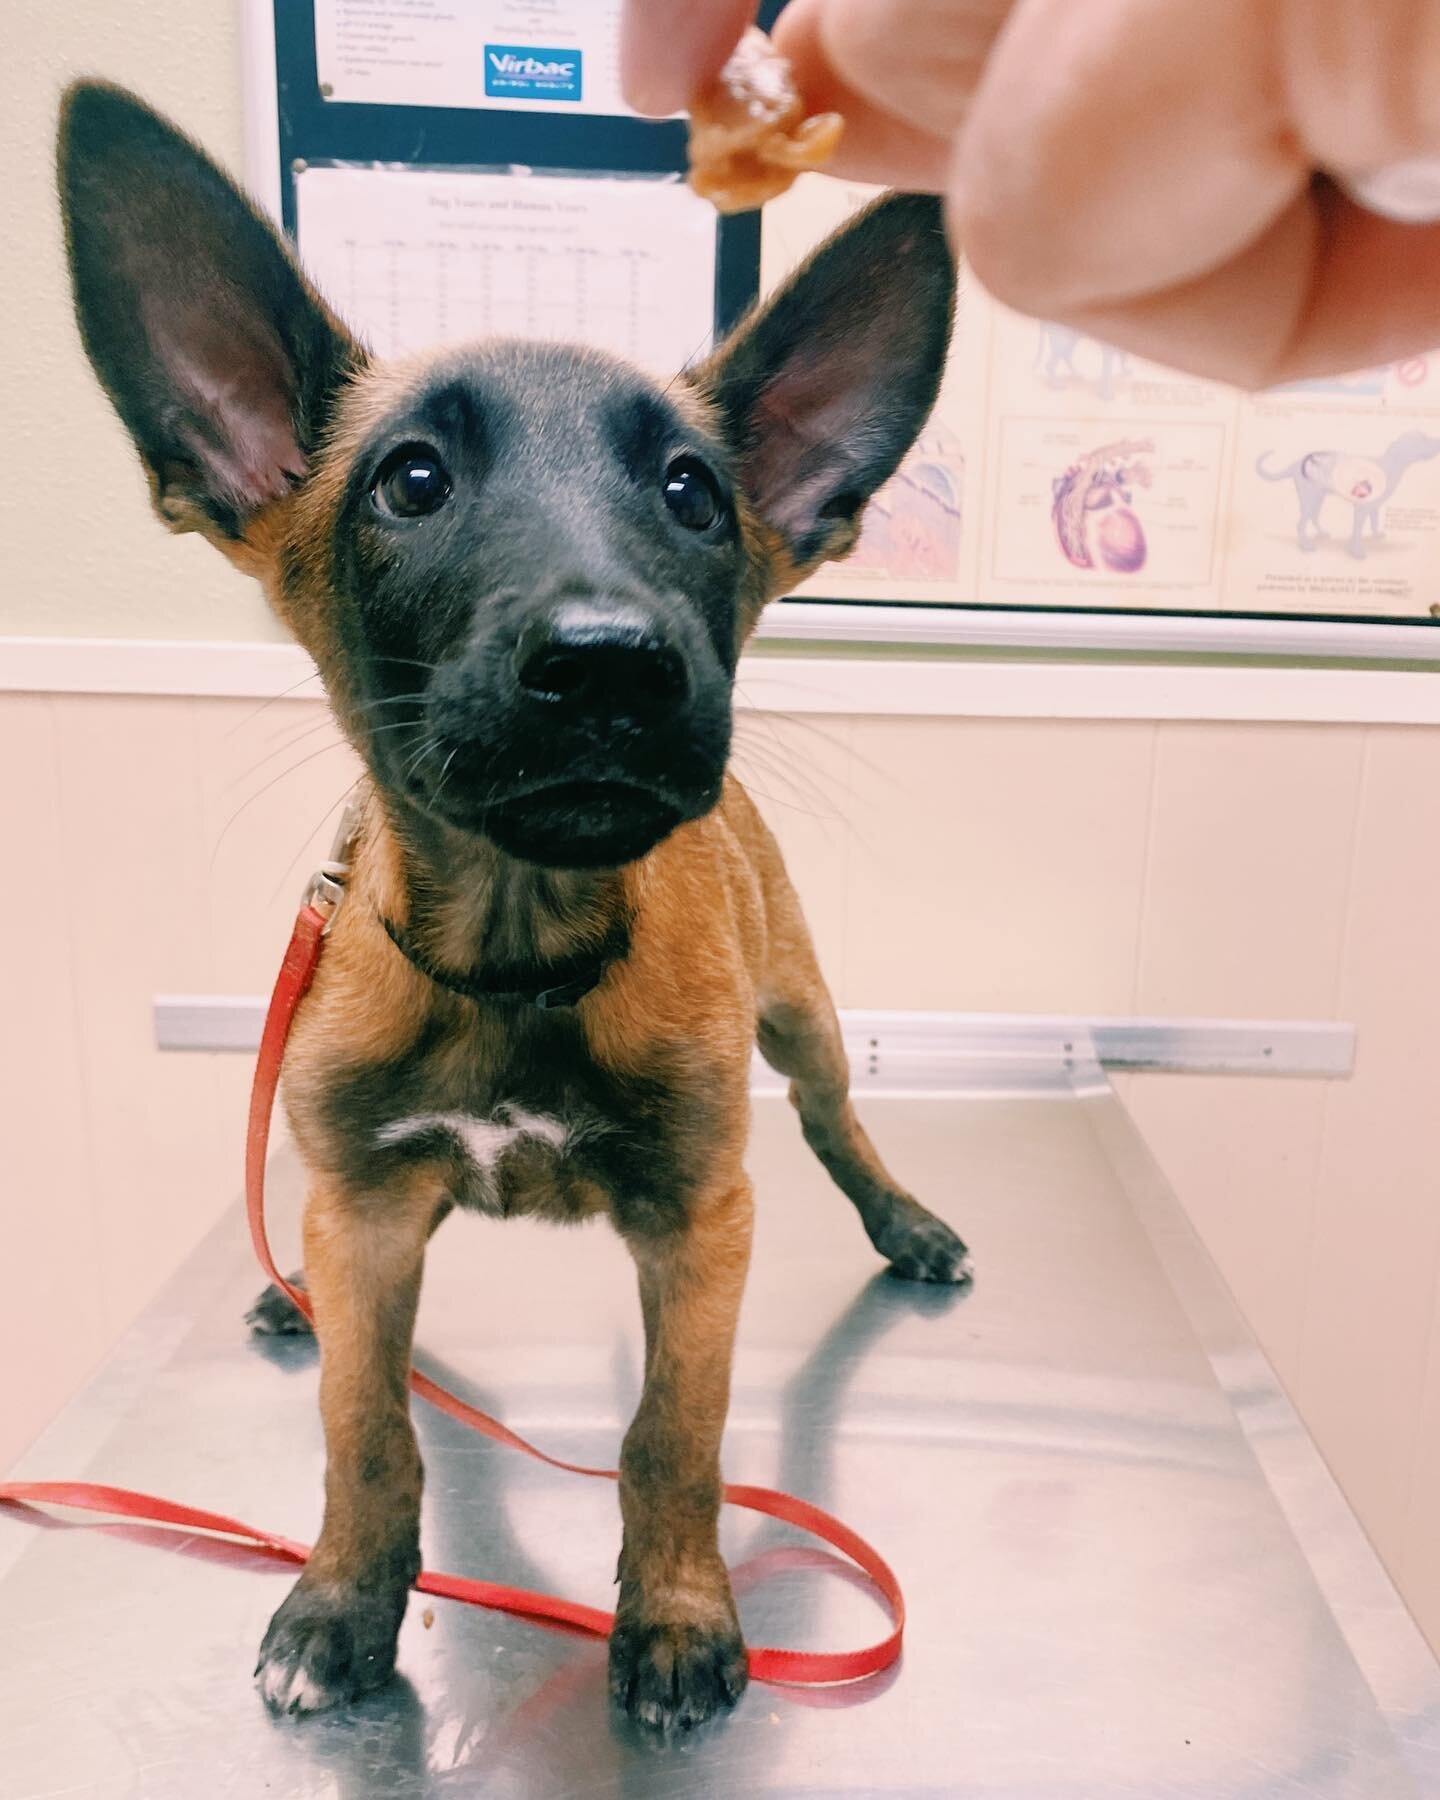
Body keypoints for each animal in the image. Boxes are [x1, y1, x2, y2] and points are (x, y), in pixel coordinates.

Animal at [62, 81, 972, 1728]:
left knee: (835, 1119)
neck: (515, 952)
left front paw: (675, 1616)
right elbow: (368, 1431)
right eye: (411, 480)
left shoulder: (699, 1219)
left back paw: (908, 1222)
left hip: (800, 1015)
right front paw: (343, 1603)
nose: (614, 665)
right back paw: (286, 1294)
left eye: (692, 494)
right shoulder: (367, 1213)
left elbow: (672, 1438)